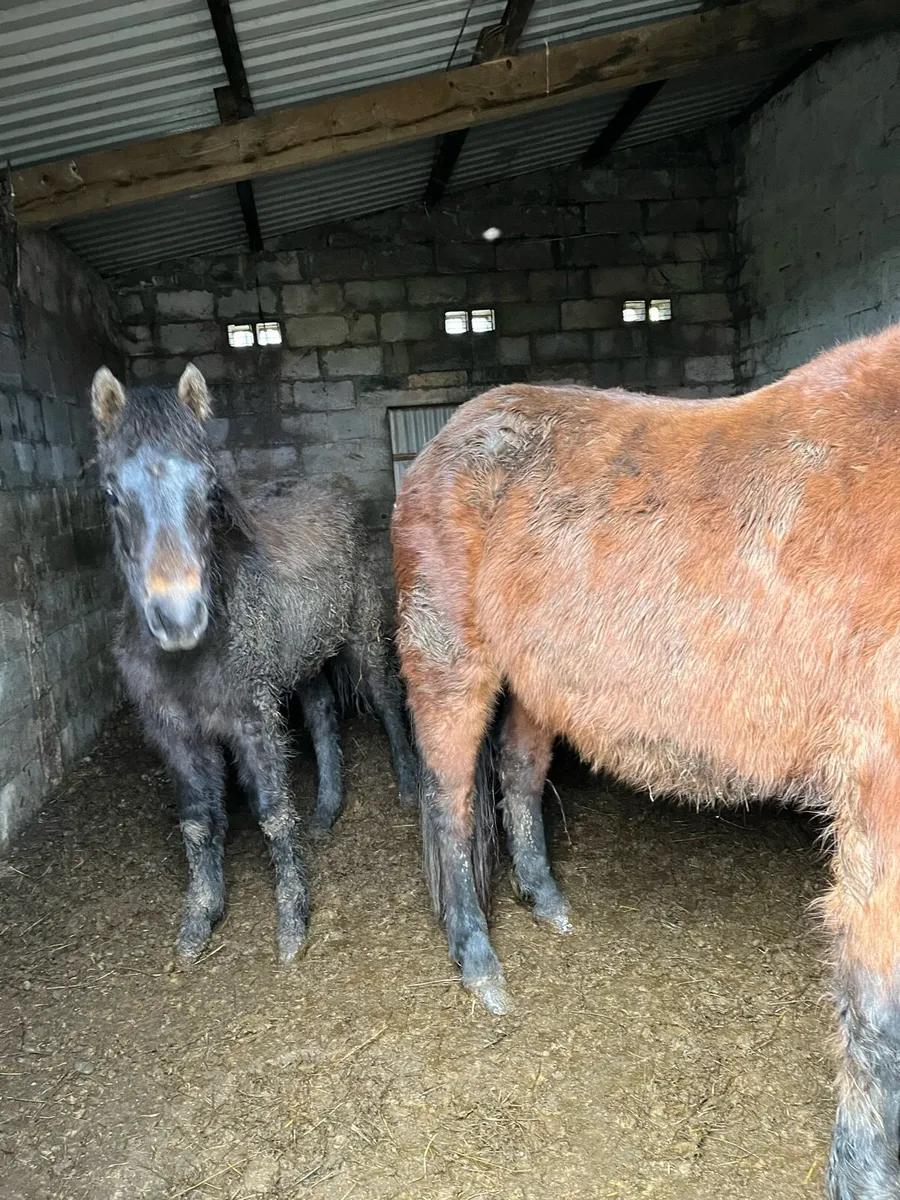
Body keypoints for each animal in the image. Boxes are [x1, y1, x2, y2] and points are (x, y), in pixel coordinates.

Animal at [92, 363, 417, 964]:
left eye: (208, 486)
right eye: (111, 492)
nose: (179, 618)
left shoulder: (252, 720)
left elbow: (271, 810)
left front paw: (291, 924)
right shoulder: (175, 734)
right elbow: (198, 822)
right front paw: (198, 920)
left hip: (360, 637)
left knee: (386, 701)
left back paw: (406, 784)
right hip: (304, 661)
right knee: (321, 717)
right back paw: (326, 809)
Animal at [392, 322, 900, 1199]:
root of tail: (443, 445)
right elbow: (875, 1014)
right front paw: (863, 1174)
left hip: (538, 687)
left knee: (518, 779)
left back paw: (546, 902)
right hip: (450, 666)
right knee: (450, 804)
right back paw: (478, 965)